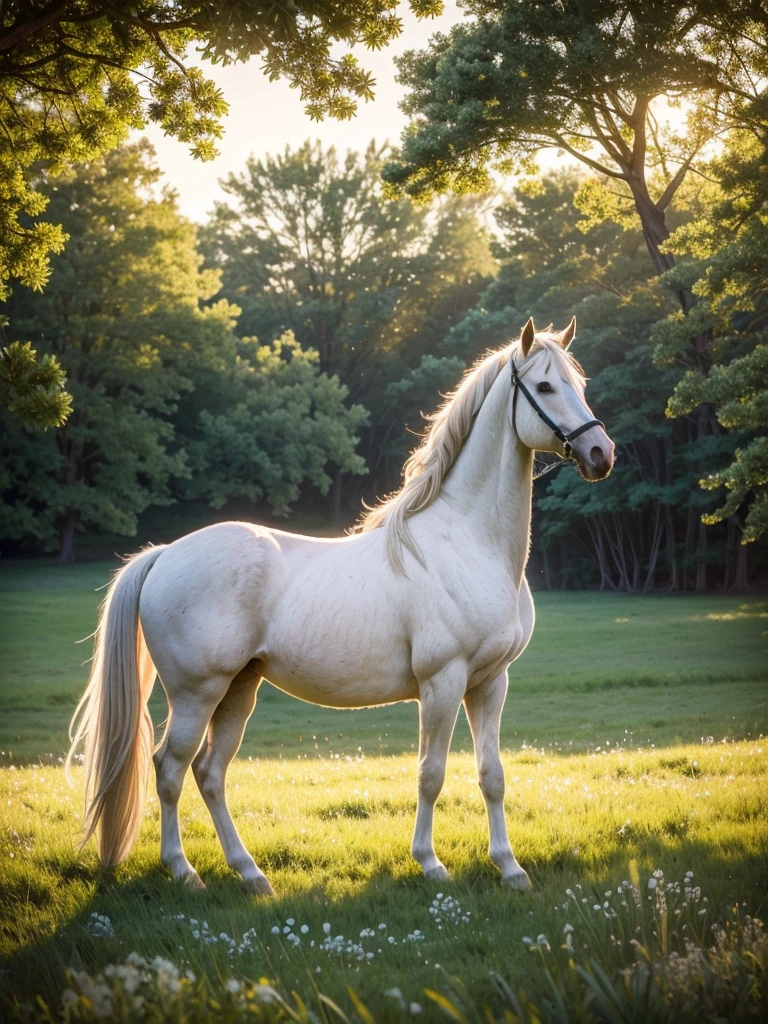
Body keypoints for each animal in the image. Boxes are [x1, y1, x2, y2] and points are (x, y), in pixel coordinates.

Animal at [69, 315, 618, 892]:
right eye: (545, 387)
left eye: (579, 384)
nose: (601, 453)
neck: (470, 542)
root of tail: (164, 554)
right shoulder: (443, 682)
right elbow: (431, 773)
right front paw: (430, 863)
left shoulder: (491, 683)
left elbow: (492, 775)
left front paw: (509, 867)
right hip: (197, 694)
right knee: (171, 769)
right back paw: (184, 871)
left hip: (238, 690)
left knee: (209, 774)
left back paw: (250, 873)